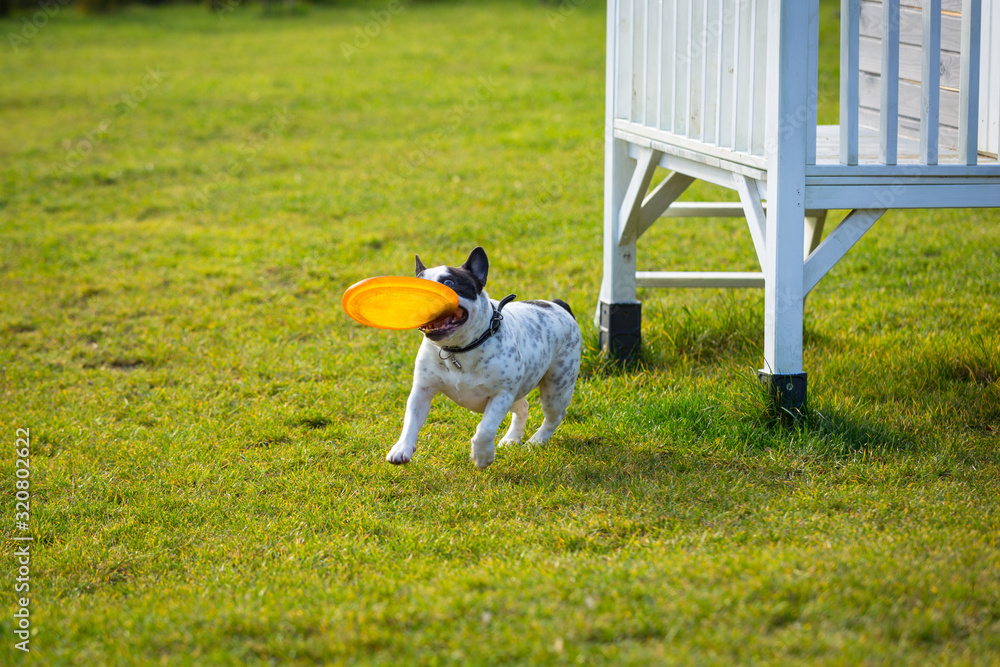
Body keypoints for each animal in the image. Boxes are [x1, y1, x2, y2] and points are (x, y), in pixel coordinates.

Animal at [386, 248, 584, 472]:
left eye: (450, 282)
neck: (460, 348)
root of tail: (558, 305)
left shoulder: (501, 395)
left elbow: (485, 429)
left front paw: (482, 456)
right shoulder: (422, 390)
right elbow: (410, 420)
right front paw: (401, 448)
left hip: (555, 388)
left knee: (554, 416)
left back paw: (536, 441)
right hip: (521, 391)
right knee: (523, 407)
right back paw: (511, 438)